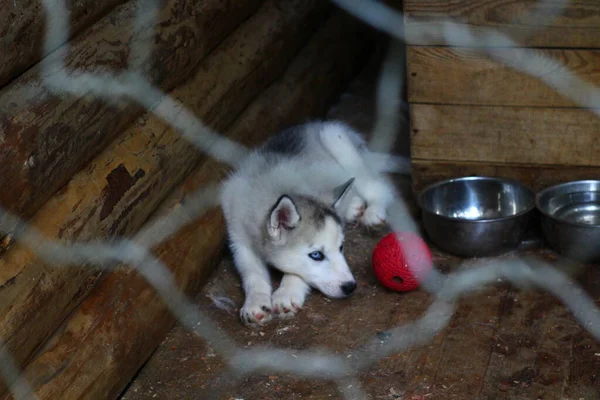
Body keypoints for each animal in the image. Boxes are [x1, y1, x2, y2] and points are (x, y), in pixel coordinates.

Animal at [220, 120, 398, 326]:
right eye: (316, 255)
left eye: (341, 247)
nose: (350, 287)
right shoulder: (239, 240)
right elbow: (252, 273)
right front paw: (255, 302)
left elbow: (296, 272)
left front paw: (287, 292)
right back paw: (354, 207)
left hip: (333, 135)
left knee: (378, 186)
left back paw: (373, 212)